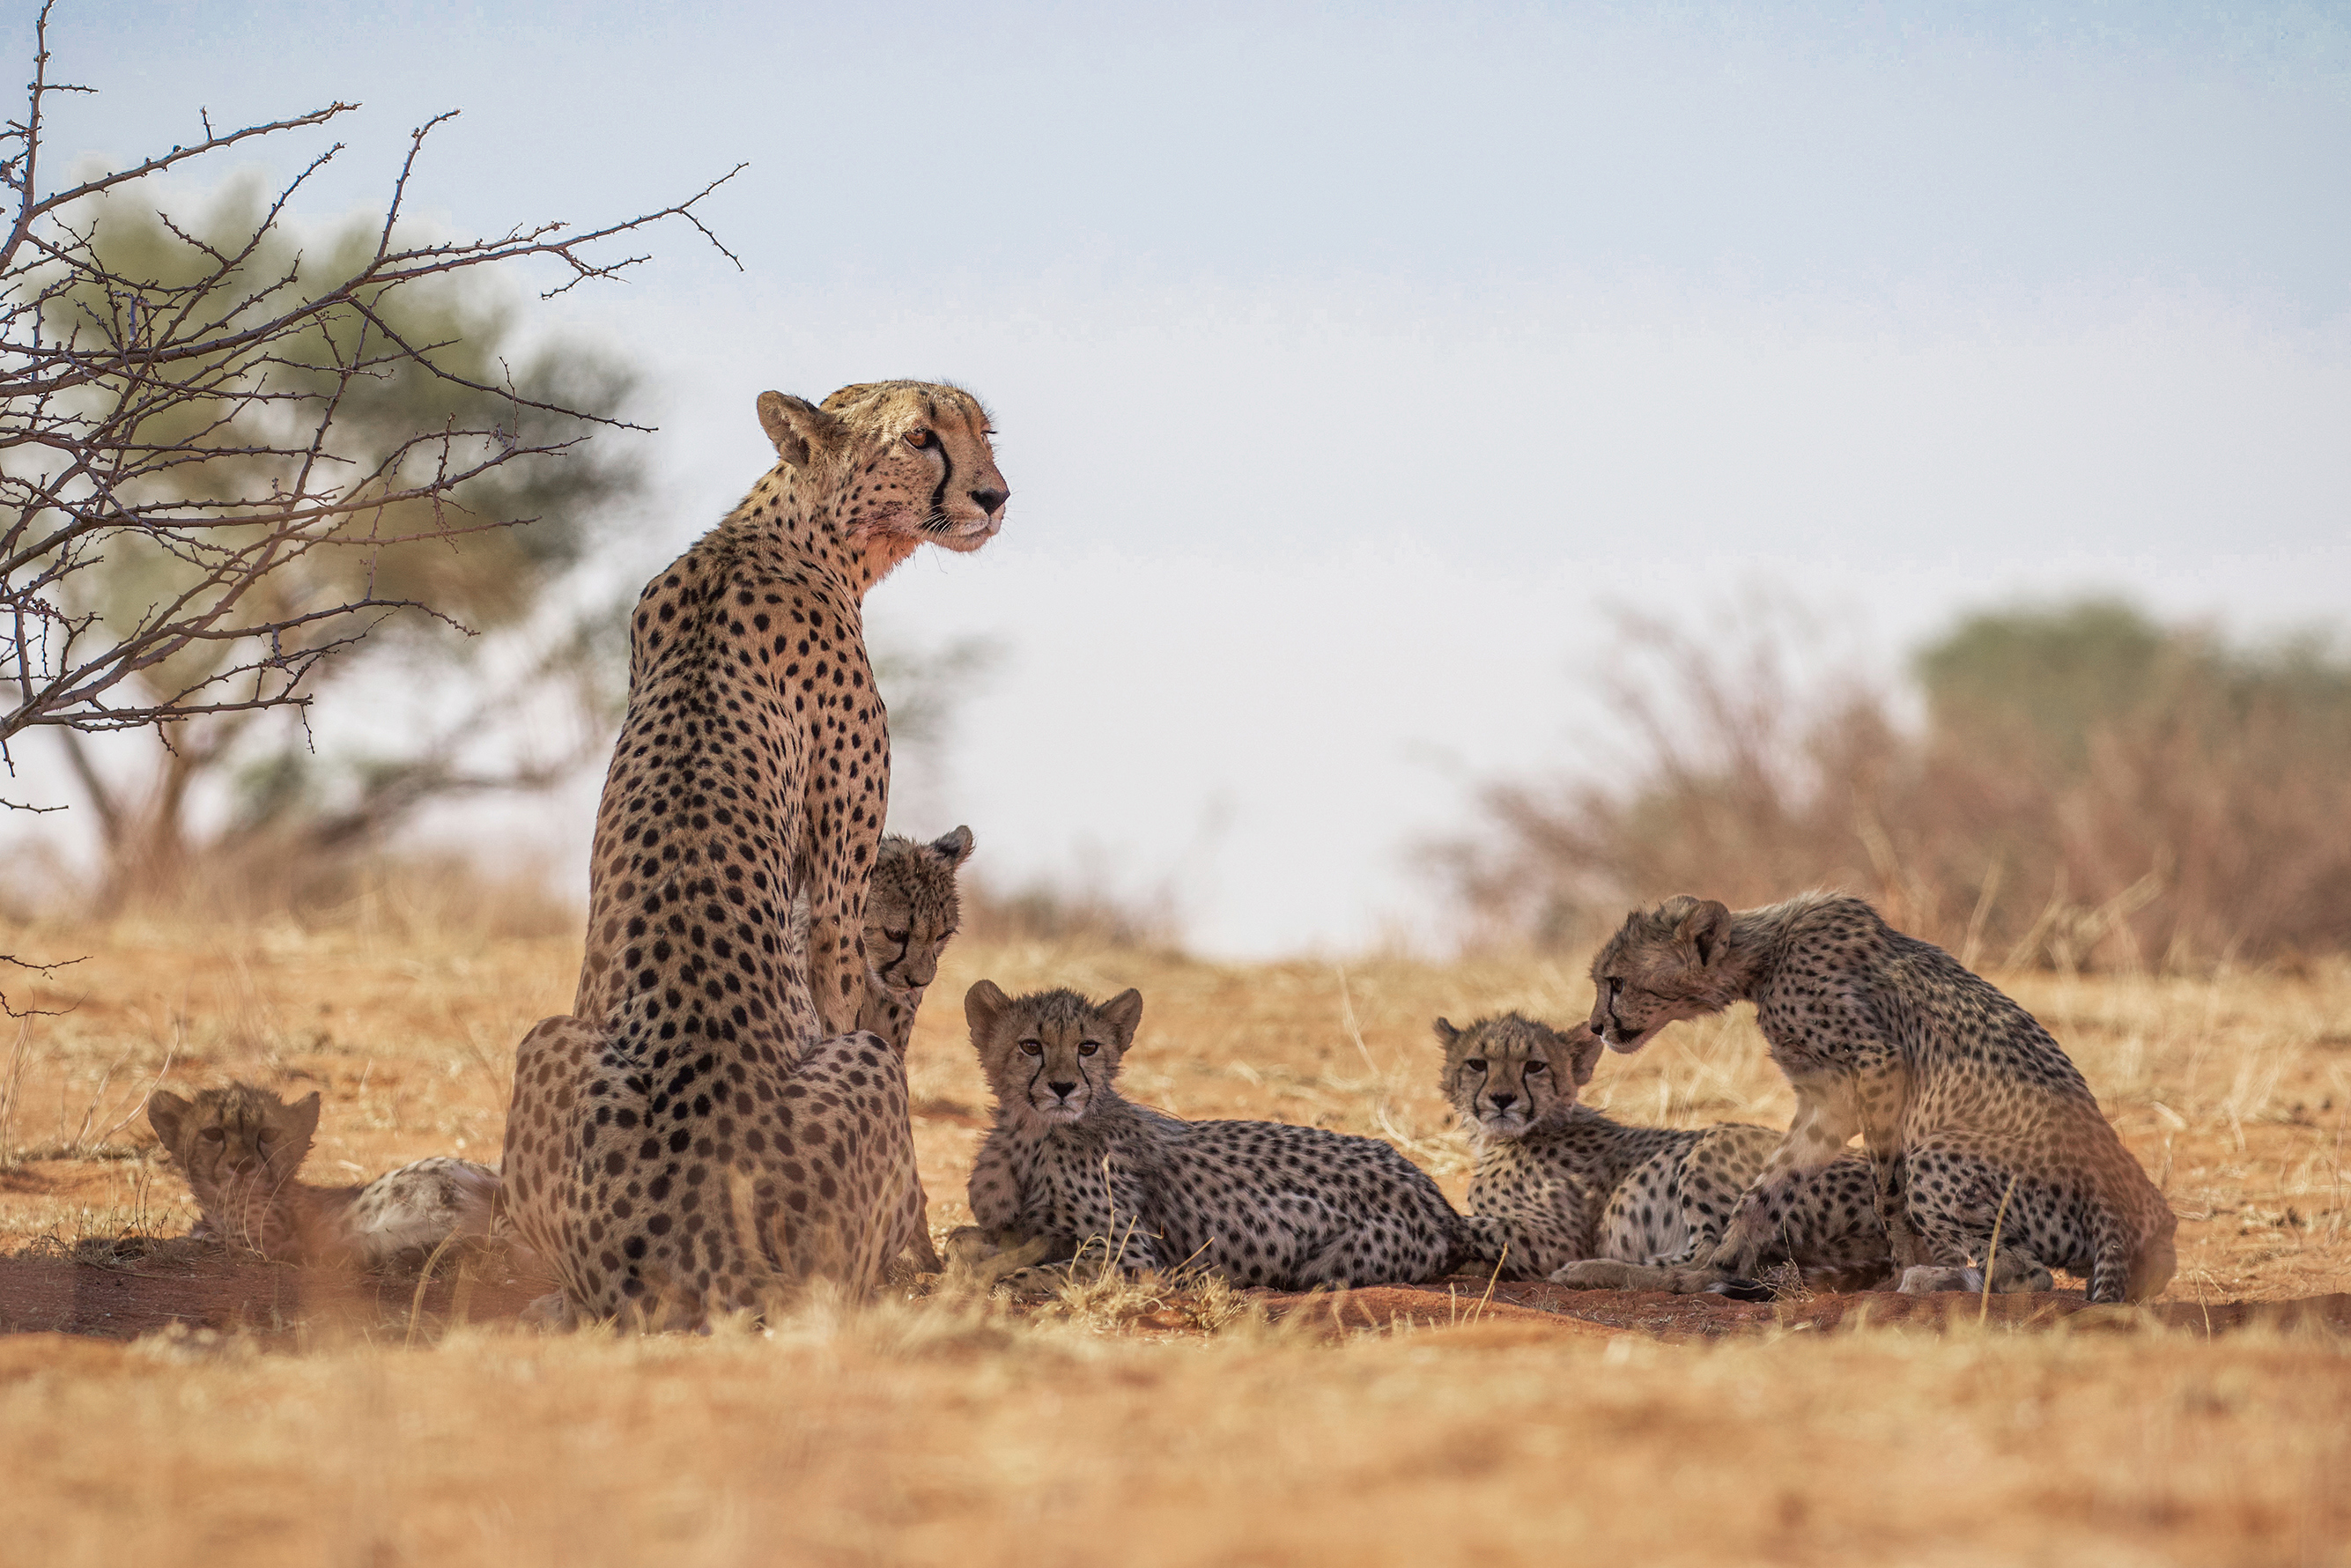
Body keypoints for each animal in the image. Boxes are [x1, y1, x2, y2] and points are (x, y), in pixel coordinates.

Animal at [499, 382, 1009, 1327]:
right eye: (921, 438)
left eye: (980, 432)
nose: (994, 497)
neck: (789, 533)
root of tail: (695, 1236)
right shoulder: (841, 879)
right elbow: (845, 987)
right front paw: (920, 1251)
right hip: (857, 1082)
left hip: (549, 1043)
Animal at [964, 981, 1467, 1289]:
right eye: (1031, 1046)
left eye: (1088, 1047)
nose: (1064, 1087)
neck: (1034, 1133)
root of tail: (1437, 1198)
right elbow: (965, 1240)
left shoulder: (1131, 1255)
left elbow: (1026, 1275)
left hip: (1330, 1263)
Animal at [1436, 1014, 1890, 1296]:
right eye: (1477, 1064)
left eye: (1535, 1066)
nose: (1502, 1099)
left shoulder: (1554, 1240)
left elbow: (1472, 1225)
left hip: (1715, 1143)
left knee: (1715, 1264)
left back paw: (1593, 1270)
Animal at [1589, 892, 2177, 1303]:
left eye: (1616, 982)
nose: (1595, 1027)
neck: (1765, 958)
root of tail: (2132, 1212)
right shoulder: (1830, 1100)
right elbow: (1765, 1189)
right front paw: (1717, 1266)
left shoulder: (1880, 1063)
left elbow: (1886, 1193)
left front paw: (1901, 1263)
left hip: (1941, 1153)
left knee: (2027, 1276)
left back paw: (1931, 1279)